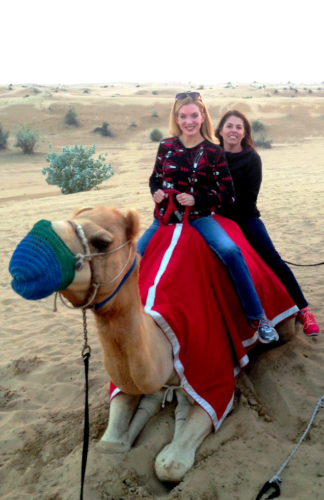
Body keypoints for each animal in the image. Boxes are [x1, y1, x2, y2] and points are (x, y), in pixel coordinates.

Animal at [8, 204, 296, 484]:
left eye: (101, 242)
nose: (28, 253)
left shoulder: (213, 379)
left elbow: (170, 464)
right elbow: (112, 443)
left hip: (280, 316)